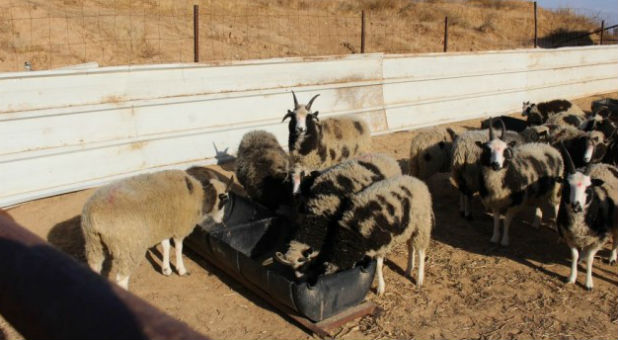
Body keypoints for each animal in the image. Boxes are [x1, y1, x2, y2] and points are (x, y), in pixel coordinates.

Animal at [81, 170, 233, 290]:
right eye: (224, 200)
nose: (222, 220)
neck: (201, 196)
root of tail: (94, 214)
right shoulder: (180, 227)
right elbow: (179, 248)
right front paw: (181, 270)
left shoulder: (163, 225)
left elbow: (166, 246)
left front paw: (166, 269)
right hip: (129, 246)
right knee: (121, 279)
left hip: (93, 242)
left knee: (94, 265)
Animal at [286, 175, 434, 294]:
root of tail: (417, 180)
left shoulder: (380, 243)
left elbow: (378, 266)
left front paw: (380, 287)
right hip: (410, 227)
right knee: (411, 247)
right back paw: (409, 269)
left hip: (422, 225)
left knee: (421, 251)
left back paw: (419, 279)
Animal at [552, 147, 616, 288]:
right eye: (567, 186)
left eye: (588, 188)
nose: (576, 206)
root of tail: (606, 165)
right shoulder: (569, 236)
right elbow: (574, 256)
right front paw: (571, 278)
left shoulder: (599, 239)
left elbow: (590, 259)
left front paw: (588, 283)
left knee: (616, 239)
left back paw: (612, 258)